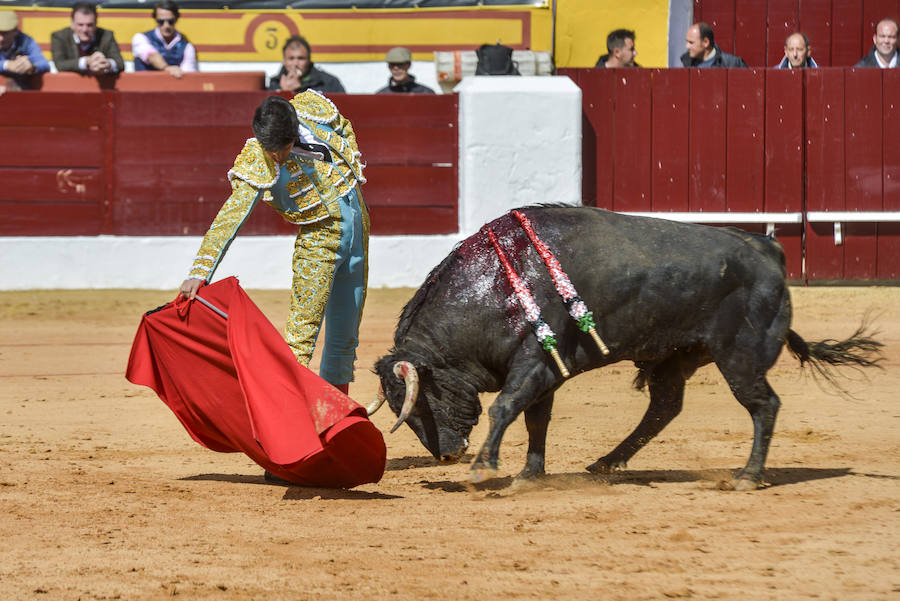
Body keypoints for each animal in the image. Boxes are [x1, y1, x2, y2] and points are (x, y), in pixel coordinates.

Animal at [370, 205, 880, 488]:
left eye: (422, 402)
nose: (447, 455)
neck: (501, 289)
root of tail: (769, 251)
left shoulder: (534, 365)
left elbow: (506, 408)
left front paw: (485, 468)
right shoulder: (547, 372)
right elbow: (535, 419)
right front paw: (529, 475)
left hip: (740, 357)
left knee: (763, 405)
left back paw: (748, 476)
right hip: (674, 357)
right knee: (665, 407)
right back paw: (606, 462)